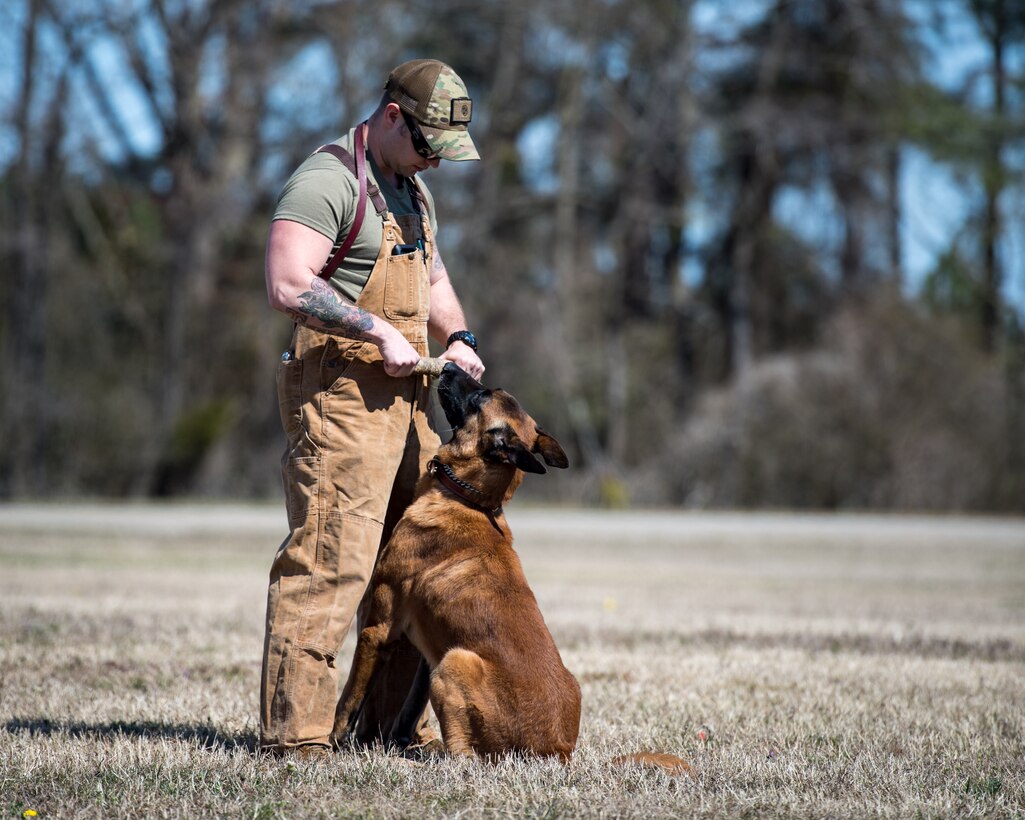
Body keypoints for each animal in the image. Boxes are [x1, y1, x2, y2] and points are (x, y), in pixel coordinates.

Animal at [332, 364, 582, 762]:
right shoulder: (426, 653)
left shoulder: (378, 629)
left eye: (481, 396)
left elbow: (349, 702)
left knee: (464, 757)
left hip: (455, 662)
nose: (450, 366)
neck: (468, 499)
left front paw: (335, 741)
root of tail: (556, 750)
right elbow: (408, 708)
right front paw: (392, 742)